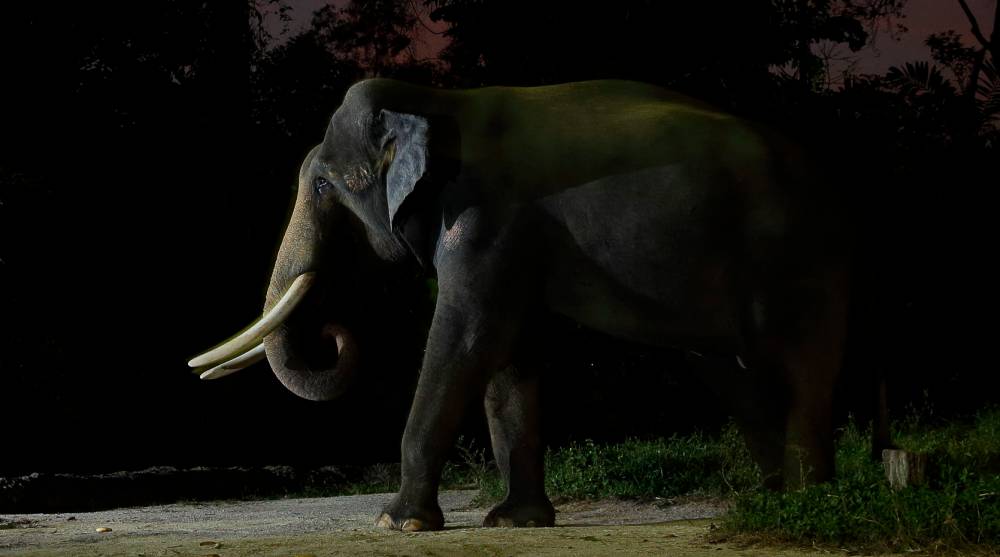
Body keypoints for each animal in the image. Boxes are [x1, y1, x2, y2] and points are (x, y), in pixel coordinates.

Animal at [190, 78, 855, 531]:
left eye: (324, 183)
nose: (333, 332)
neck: (437, 100)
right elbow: (509, 351)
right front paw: (516, 521)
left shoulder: (487, 220)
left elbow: (466, 335)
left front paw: (397, 523)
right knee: (732, 371)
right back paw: (776, 496)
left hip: (794, 253)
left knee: (801, 364)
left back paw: (808, 499)